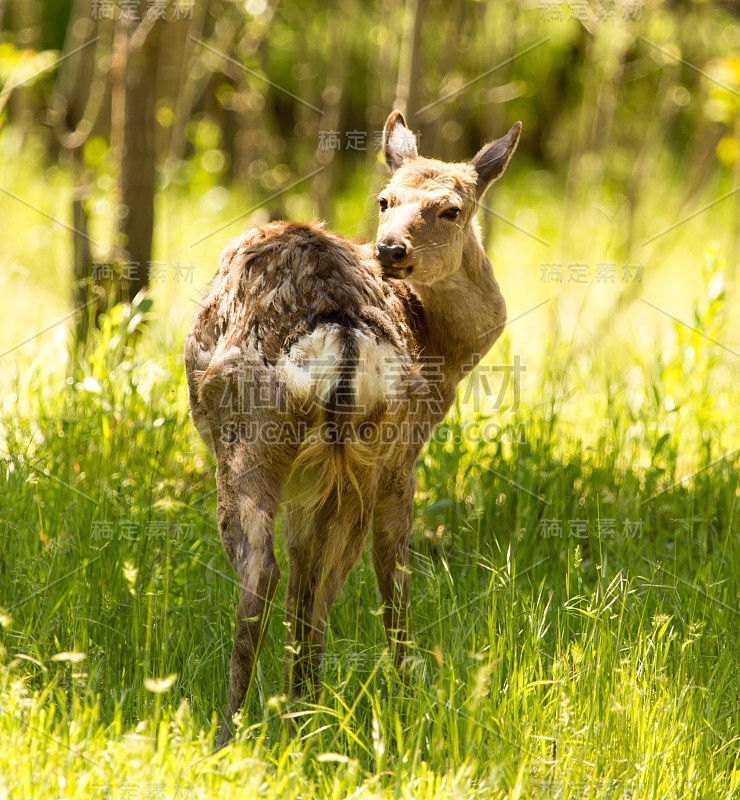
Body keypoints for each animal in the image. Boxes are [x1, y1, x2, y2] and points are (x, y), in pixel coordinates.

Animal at [184, 111, 520, 744]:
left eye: (451, 209)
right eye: (385, 199)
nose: (391, 248)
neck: (444, 350)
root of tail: (338, 330)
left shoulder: (392, 459)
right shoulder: (381, 459)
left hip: (251, 438)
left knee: (271, 569)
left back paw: (235, 725)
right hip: (359, 451)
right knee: (325, 581)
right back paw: (308, 709)